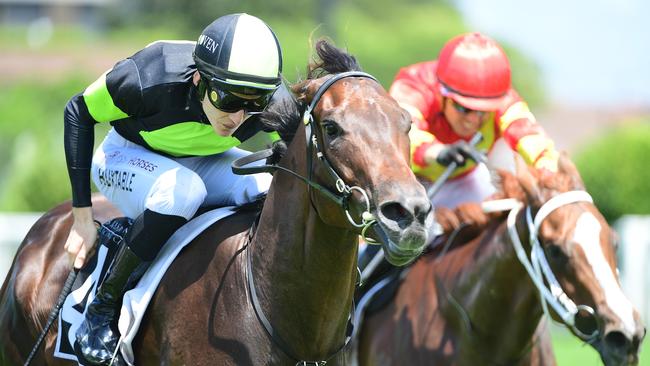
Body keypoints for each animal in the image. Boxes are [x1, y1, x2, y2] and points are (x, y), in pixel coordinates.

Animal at [1, 38, 436, 364]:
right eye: (331, 128)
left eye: (406, 123)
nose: (409, 214)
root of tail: (44, 228)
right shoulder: (139, 82)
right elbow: (80, 108)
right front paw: (84, 230)